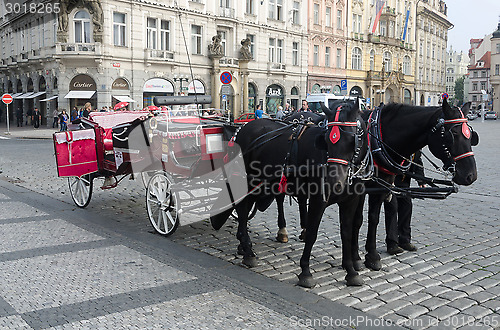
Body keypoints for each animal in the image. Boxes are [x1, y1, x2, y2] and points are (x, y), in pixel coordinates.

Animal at [211, 99, 372, 288]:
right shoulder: (318, 200)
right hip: (246, 180)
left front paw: (351, 270)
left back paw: (243, 245)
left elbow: (346, 232)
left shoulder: (351, 201)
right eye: (327, 140)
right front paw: (305, 271)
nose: (333, 183)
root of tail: (241, 129)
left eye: (352, 140)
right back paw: (248, 250)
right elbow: (312, 233)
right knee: (243, 210)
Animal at [362, 98, 478, 270]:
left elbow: (374, 217)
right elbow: (370, 218)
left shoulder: (382, 187)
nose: (471, 175)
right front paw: (369, 256)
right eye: (454, 135)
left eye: (471, 136)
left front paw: (371, 254)